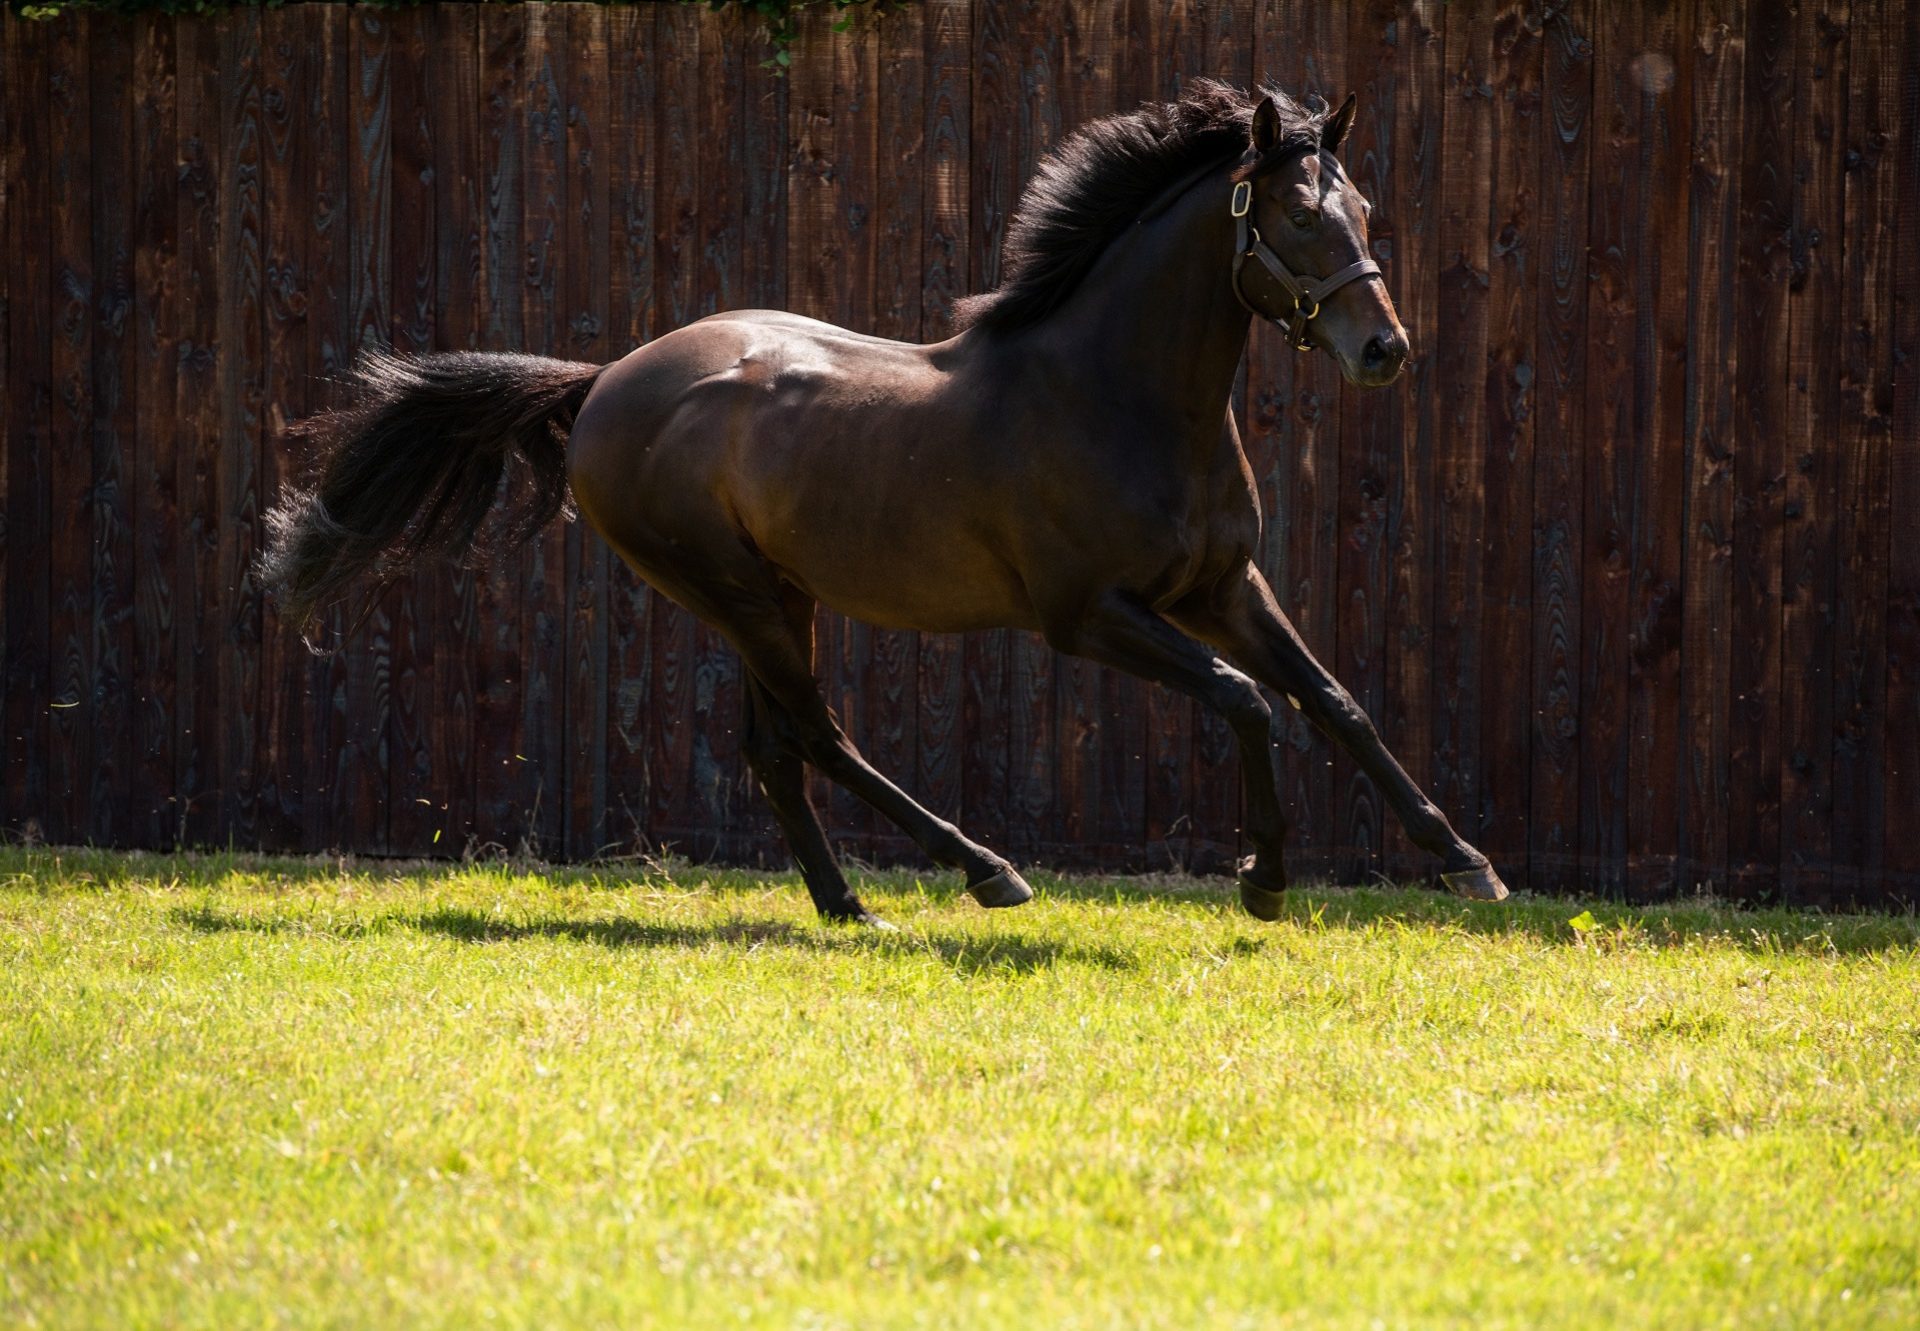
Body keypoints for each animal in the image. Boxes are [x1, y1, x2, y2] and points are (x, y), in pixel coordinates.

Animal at [259, 80, 1512, 925]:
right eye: (1296, 216)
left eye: (1363, 206)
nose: (1385, 349)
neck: (1115, 394)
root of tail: (606, 381)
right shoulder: (1089, 616)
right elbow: (1250, 700)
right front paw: (1265, 878)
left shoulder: (1220, 586)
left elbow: (1332, 699)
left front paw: (1468, 863)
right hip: (735, 592)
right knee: (817, 733)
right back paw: (984, 870)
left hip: (774, 596)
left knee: (775, 747)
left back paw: (846, 902)